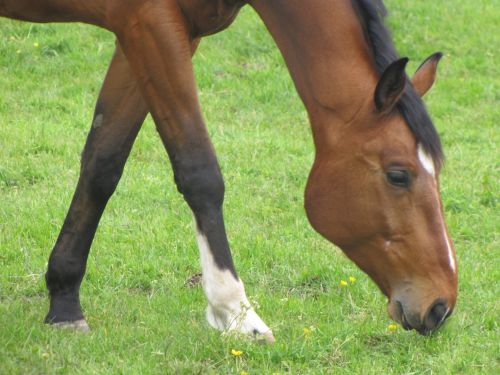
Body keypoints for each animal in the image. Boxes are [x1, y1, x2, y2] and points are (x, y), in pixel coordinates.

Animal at [0, 0, 458, 340]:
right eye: (398, 175)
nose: (441, 305)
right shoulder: (151, 25)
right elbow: (199, 171)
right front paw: (237, 312)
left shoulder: (148, 32)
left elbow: (103, 162)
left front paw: (64, 302)